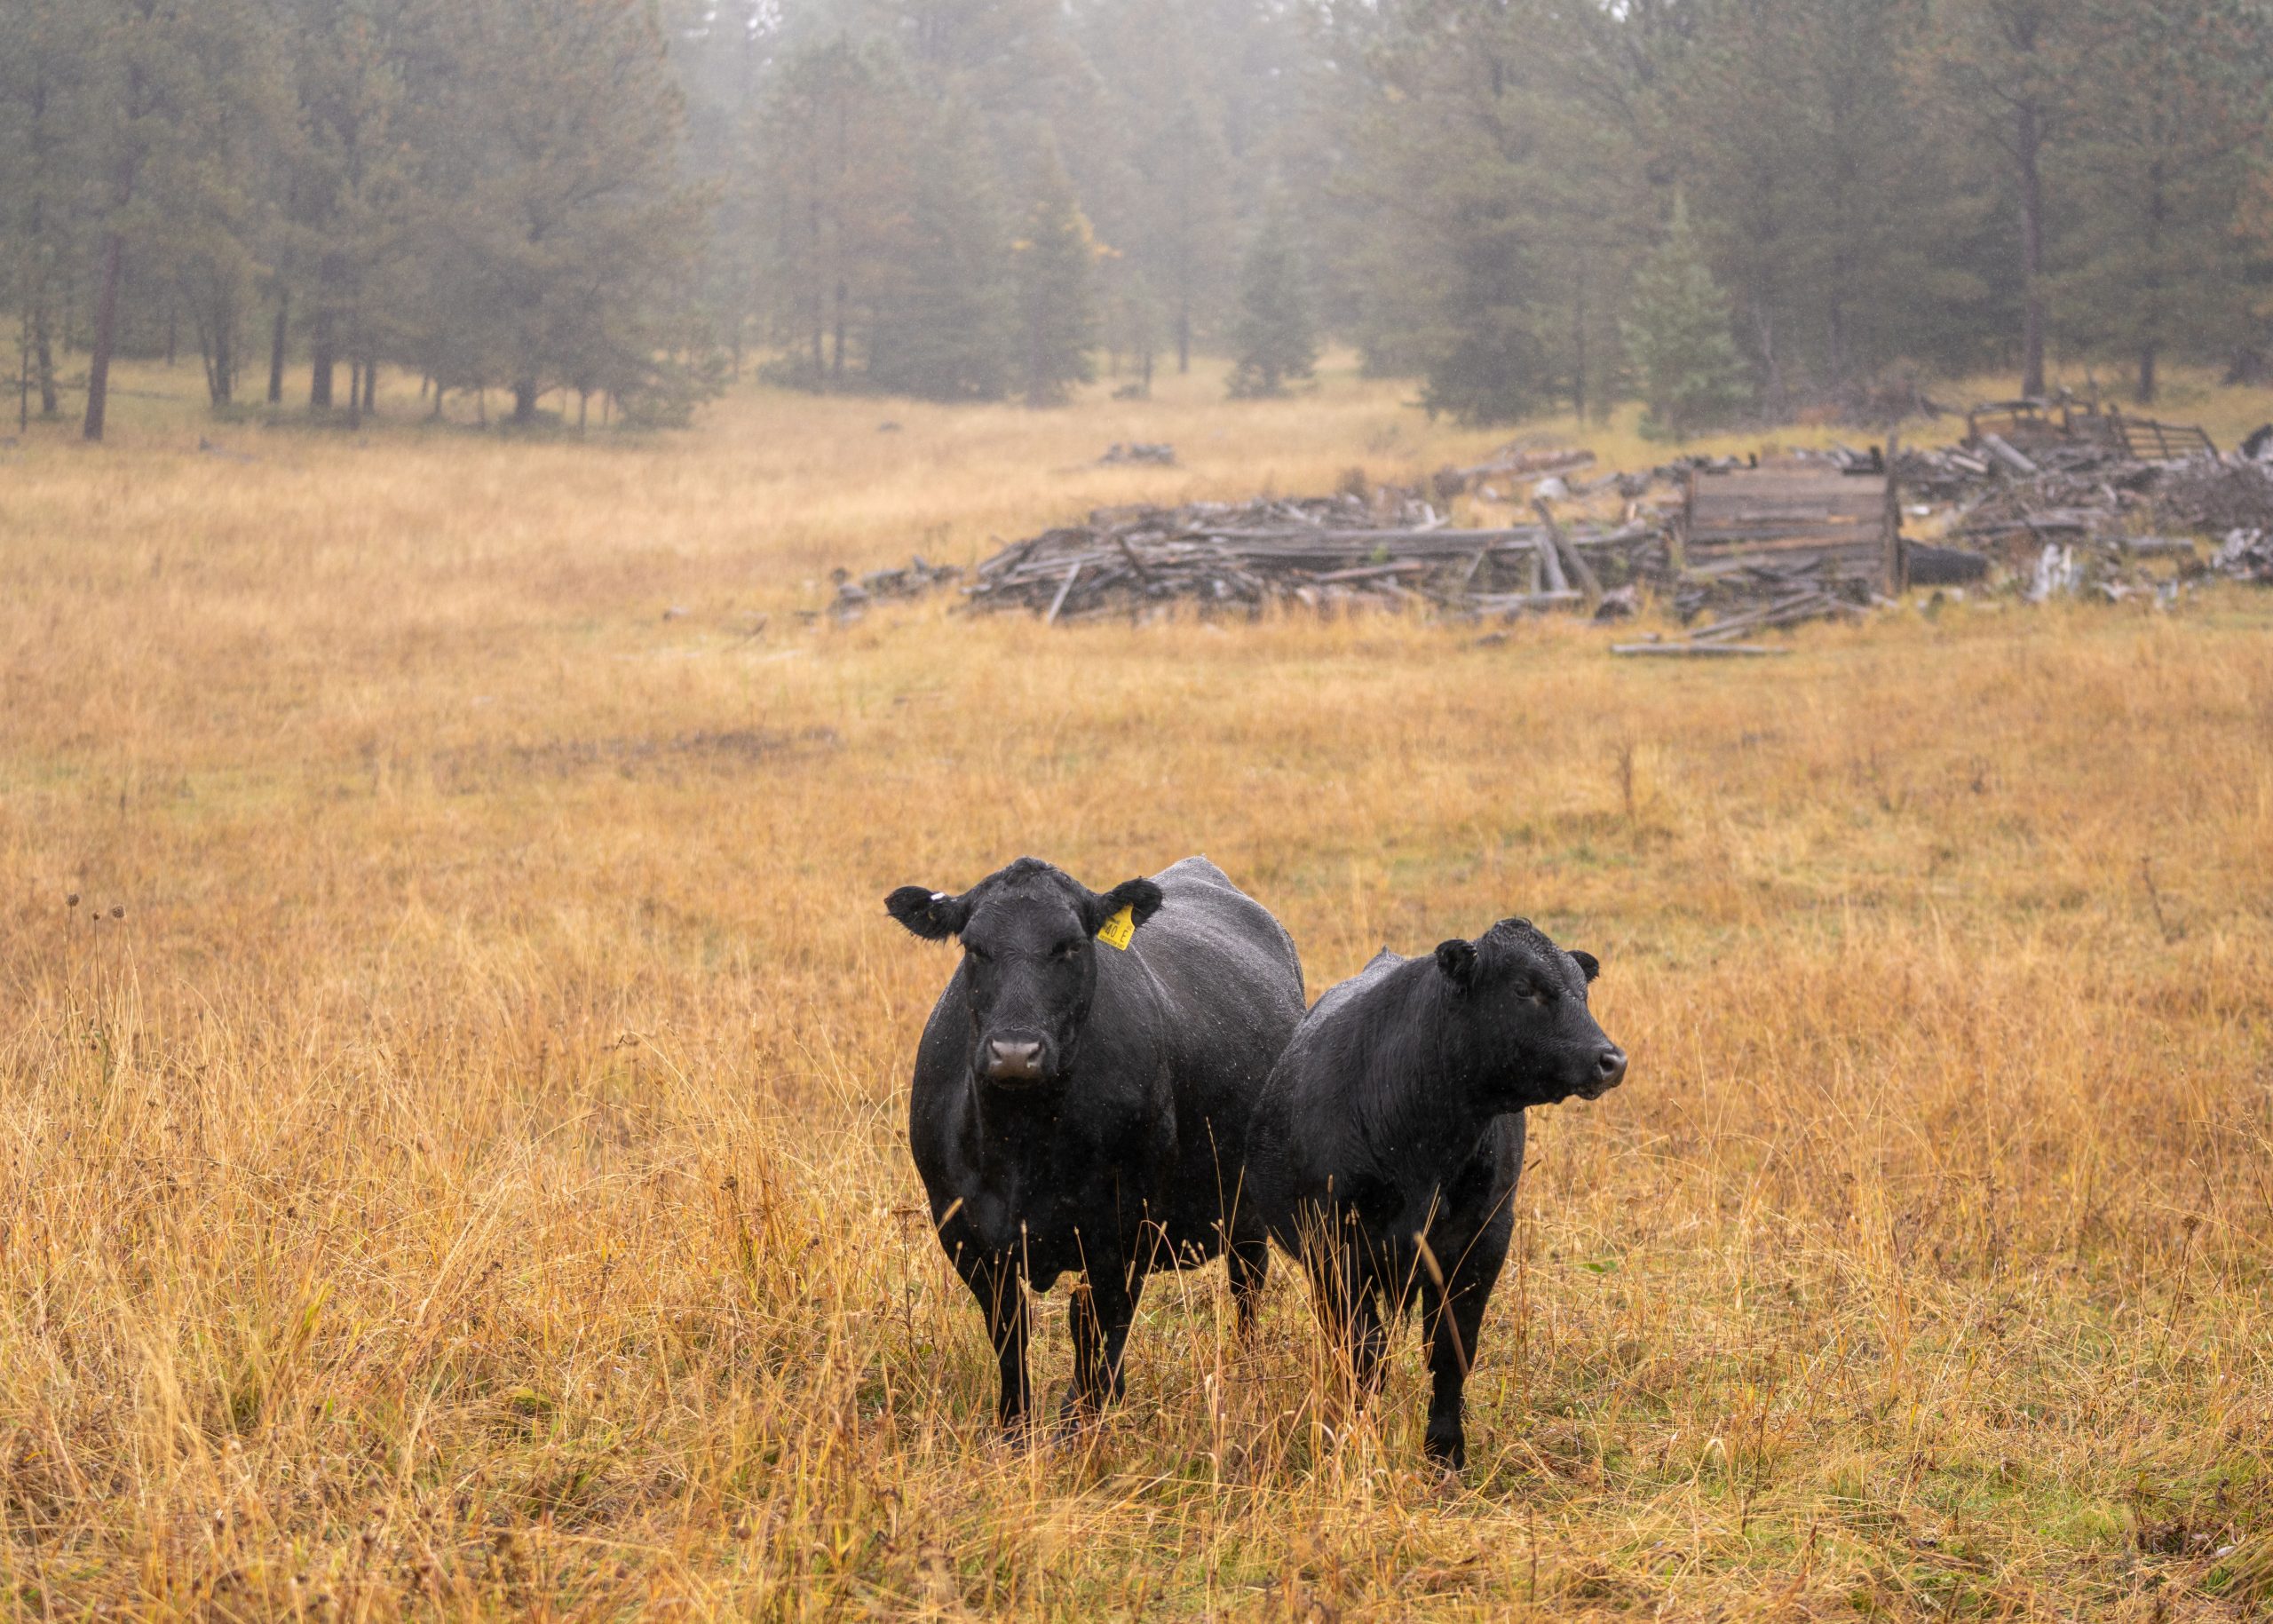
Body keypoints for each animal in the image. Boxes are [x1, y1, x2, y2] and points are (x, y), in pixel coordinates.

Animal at [884, 856, 1304, 1434]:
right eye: (973, 947)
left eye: (1071, 946)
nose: (1015, 1052)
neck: (1022, 1144)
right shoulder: (963, 1232)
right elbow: (1009, 1328)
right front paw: (1015, 1427)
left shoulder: (1124, 1230)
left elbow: (1092, 1321)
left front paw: (1081, 1418)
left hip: (1242, 1209)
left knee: (1246, 1284)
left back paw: (1246, 1369)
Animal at [1243, 917, 1627, 1471]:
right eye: (1524, 989)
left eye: (1583, 991)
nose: (1611, 1061)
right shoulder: (1337, 1249)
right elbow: (1364, 1355)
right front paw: (1361, 1441)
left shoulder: (1482, 1241)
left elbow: (1452, 1348)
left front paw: (1445, 1450)